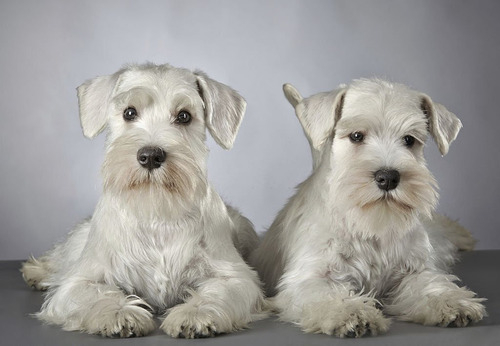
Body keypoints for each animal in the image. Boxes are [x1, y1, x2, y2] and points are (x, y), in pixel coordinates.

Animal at [20, 62, 266, 338]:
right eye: (129, 112)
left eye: (184, 116)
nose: (150, 156)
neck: (156, 214)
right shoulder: (80, 281)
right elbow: (97, 293)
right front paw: (119, 313)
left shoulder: (235, 277)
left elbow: (216, 293)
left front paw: (195, 313)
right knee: (61, 256)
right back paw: (36, 271)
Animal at [252, 78, 486, 338]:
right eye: (356, 135)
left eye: (409, 140)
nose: (388, 178)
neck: (371, 224)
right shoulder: (311, 278)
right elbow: (329, 294)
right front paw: (351, 313)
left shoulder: (414, 270)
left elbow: (431, 285)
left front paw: (452, 302)